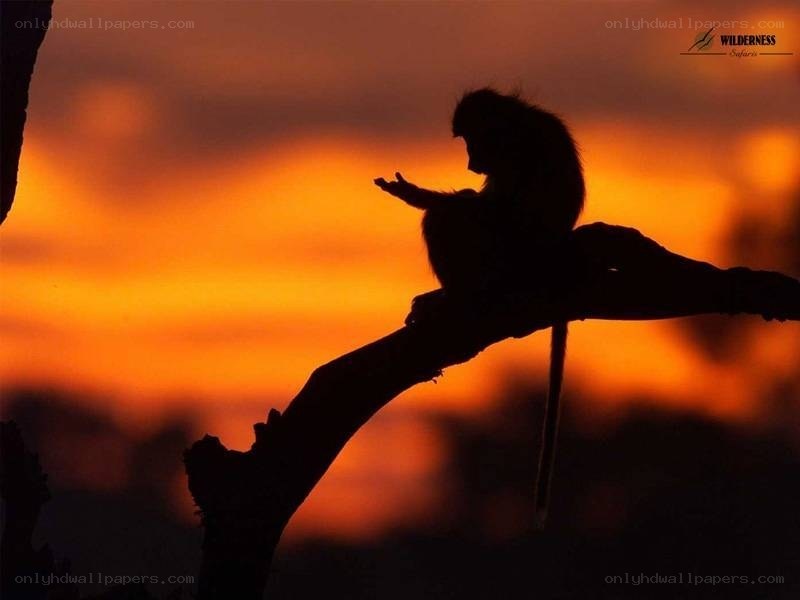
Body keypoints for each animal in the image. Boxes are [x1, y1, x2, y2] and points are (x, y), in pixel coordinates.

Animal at [375, 88, 585, 528]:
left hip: (505, 256)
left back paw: (455, 295)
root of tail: (552, 255)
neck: (516, 119)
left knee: (452, 216)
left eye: (472, 140)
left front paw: (416, 195)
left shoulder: (517, 148)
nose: (470, 162)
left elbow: (487, 207)